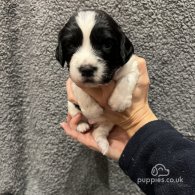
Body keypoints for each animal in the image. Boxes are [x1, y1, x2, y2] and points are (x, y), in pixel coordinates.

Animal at [55, 10, 139, 154]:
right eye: (71, 45)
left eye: (107, 44)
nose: (87, 69)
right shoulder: (74, 80)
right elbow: (81, 91)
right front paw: (93, 111)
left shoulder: (131, 66)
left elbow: (127, 79)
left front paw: (119, 101)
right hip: (71, 106)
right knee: (77, 115)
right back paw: (82, 125)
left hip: (109, 122)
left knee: (100, 132)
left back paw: (103, 145)